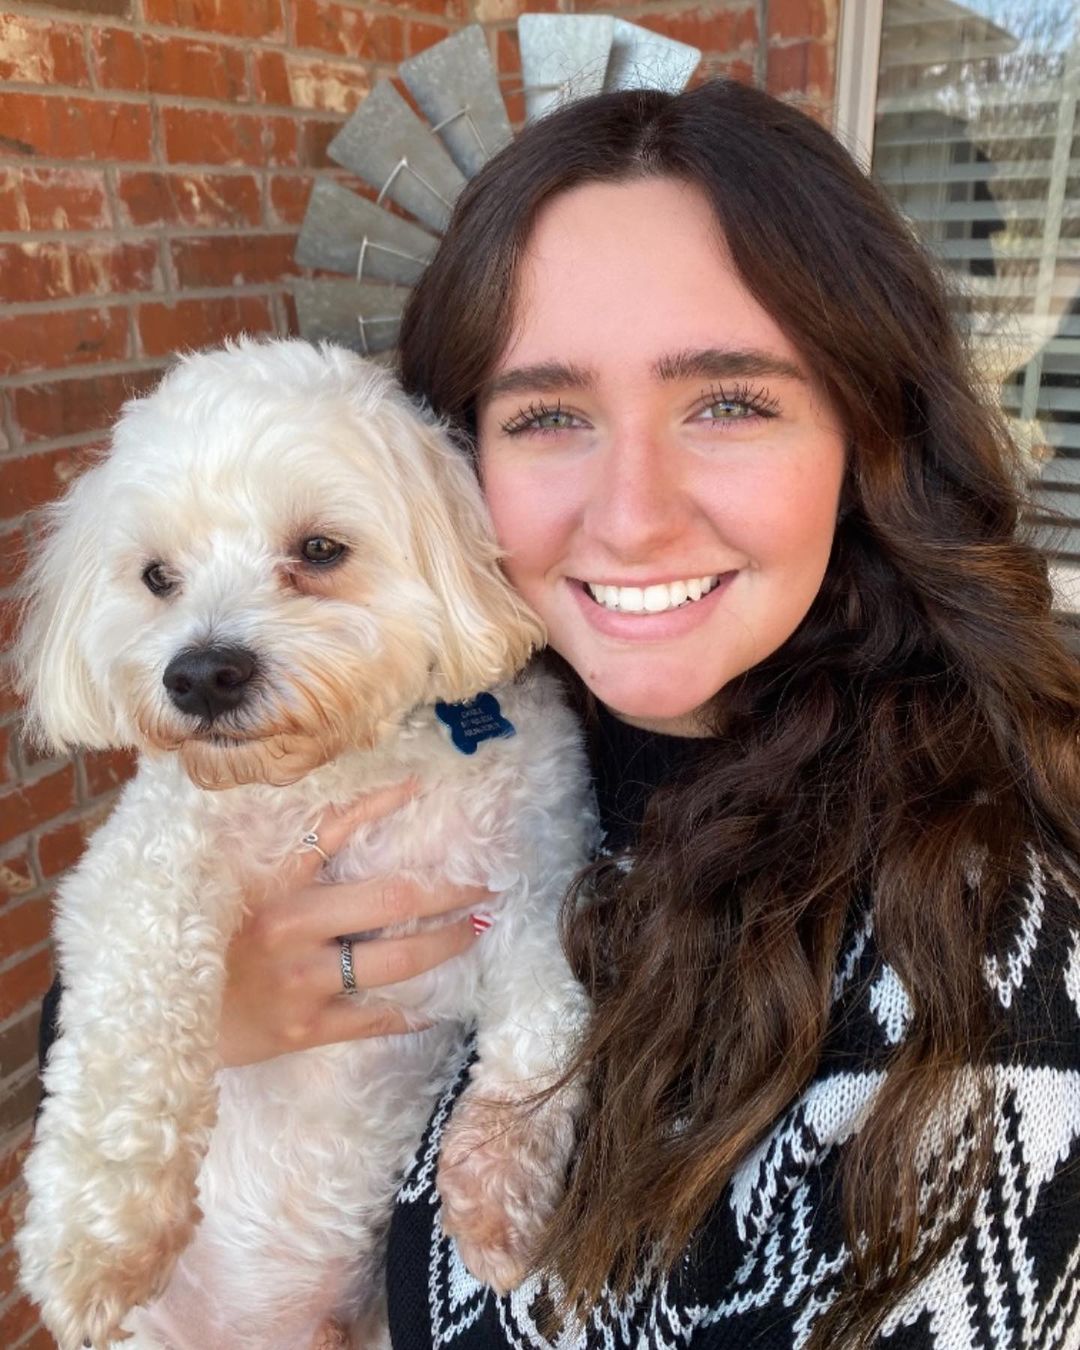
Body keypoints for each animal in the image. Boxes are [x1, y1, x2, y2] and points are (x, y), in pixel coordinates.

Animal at [14, 339, 593, 1350]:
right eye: (156, 577)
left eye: (319, 550)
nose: (201, 674)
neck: (333, 773)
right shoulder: (137, 871)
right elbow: (135, 1016)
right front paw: (100, 1233)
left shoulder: (533, 880)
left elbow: (546, 1026)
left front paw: (494, 1192)